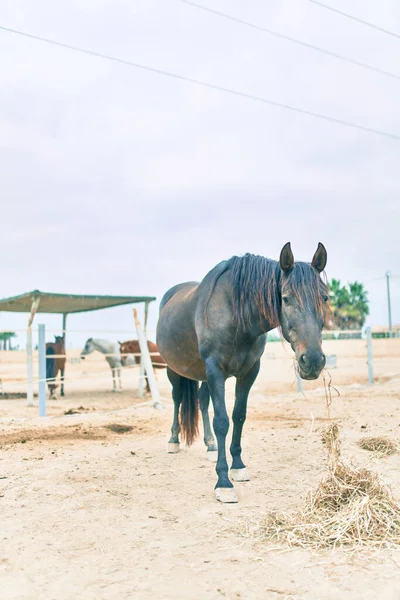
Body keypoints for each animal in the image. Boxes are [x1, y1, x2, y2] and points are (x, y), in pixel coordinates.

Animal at [156, 243, 328, 502]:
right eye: (285, 299)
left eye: (325, 297)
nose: (314, 361)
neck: (235, 315)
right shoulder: (215, 370)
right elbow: (222, 421)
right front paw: (223, 482)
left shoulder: (249, 372)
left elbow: (238, 416)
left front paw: (237, 466)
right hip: (174, 370)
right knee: (177, 400)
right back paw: (174, 441)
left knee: (202, 401)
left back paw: (210, 445)